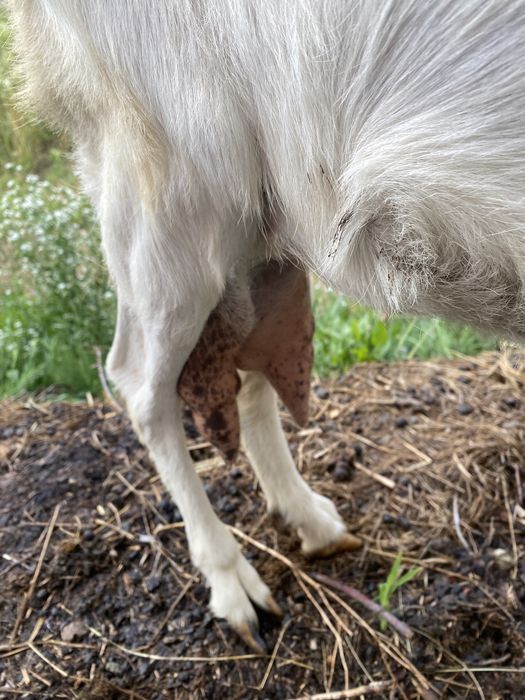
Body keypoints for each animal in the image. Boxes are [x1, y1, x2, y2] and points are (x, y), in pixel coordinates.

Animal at [7, 0, 525, 651]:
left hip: (261, 214)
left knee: (250, 364)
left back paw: (309, 519)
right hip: (170, 182)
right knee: (140, 382)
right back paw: (232, 583)